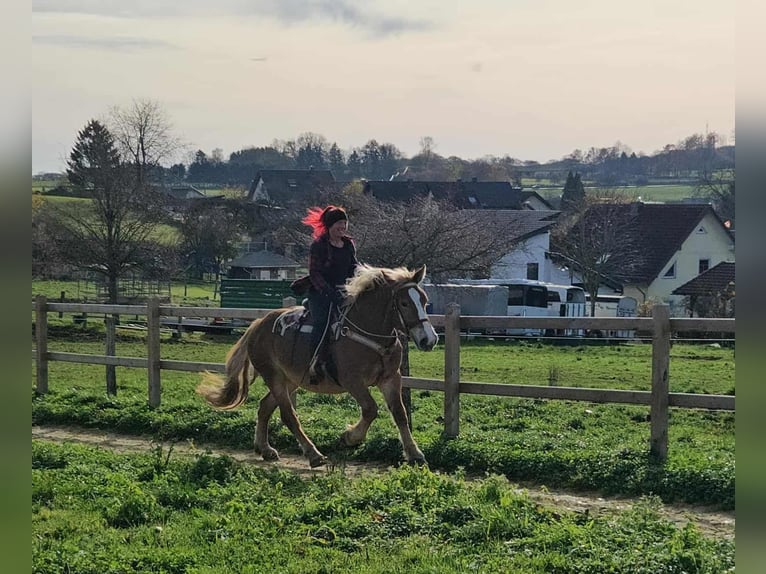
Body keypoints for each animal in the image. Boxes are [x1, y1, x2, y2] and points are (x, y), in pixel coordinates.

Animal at [196, 264, 439, 468]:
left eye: (424, 300)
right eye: (405, 303)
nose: (429, 339)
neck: (367, 333)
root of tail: (257, 325)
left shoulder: (390, 379)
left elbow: (399, 413)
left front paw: (414, 453)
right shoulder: (353, 381)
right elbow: (370, 409)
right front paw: (349, 437)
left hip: (290, 380)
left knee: (265, 407)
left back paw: (265, 449)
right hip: (274, 377)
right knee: (288, 415)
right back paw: (313, 454)